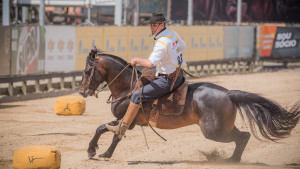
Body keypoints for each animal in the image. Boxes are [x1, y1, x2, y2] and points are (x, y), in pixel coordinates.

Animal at [79, 51, 300, 162]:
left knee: (242, 137)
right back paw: (232, 160)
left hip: (214, 132)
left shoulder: (127, 120)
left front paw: (100, 152)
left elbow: (111, 132)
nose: (81, 92)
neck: (128, 86)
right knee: (243, 137)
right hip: (222, 128)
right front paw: (94, 150)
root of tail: (228, 93)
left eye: (87, 71)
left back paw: (230, 161)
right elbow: (103, 129)